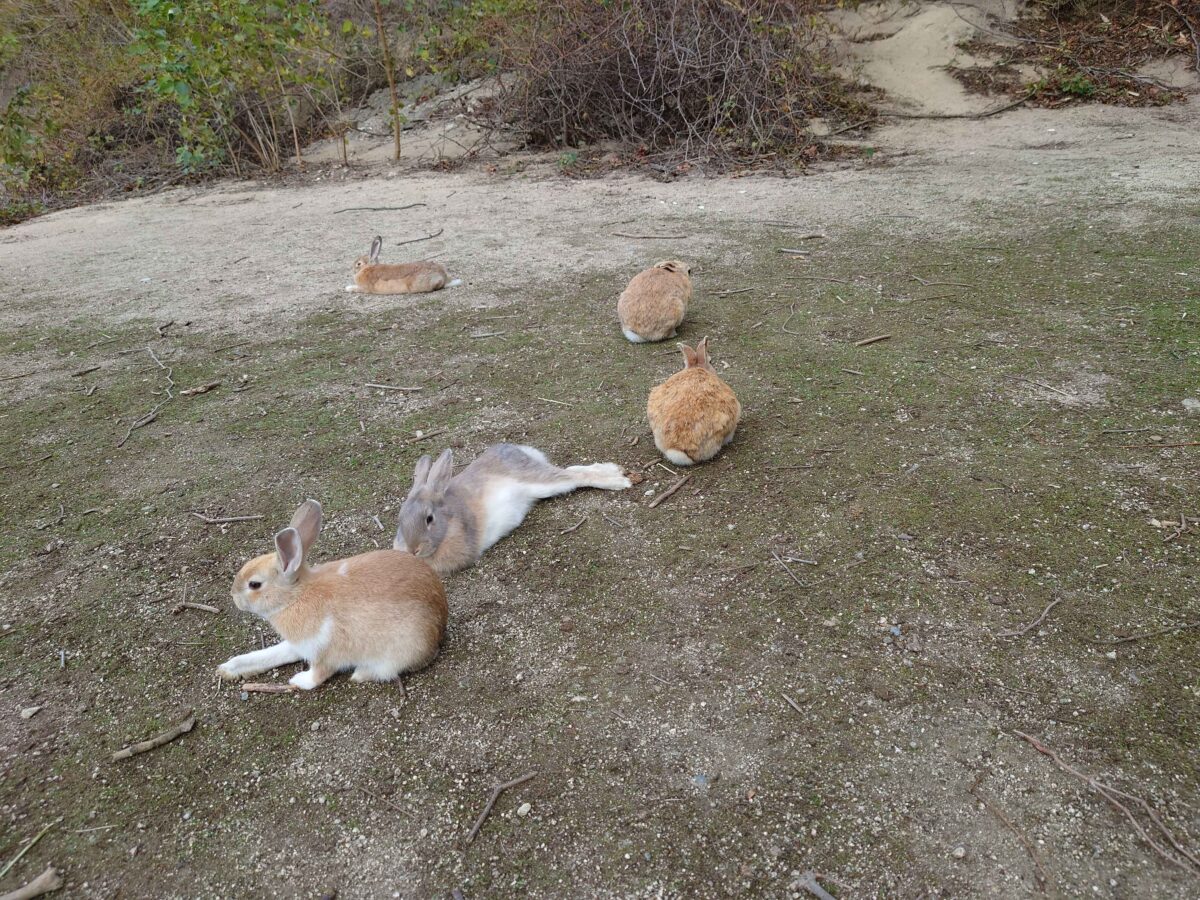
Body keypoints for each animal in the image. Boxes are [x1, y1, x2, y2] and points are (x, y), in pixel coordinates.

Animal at [216, 499, 448, 690]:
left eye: (254, 584)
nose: (234, 596)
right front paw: (228, 668)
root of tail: (441, 618)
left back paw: (360, 673)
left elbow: (317, 676)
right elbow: (275, 653)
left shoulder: (325, 651)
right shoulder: (299, 645)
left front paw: (298, 680)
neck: (295, 596)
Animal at [396, 443, 632, 575]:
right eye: (400, 519)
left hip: (538, 480)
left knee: (575, 476)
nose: (413, 550)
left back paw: (619, 480)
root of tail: (519, 449)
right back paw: (614, 470)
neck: (449, 520)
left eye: (429, 518)